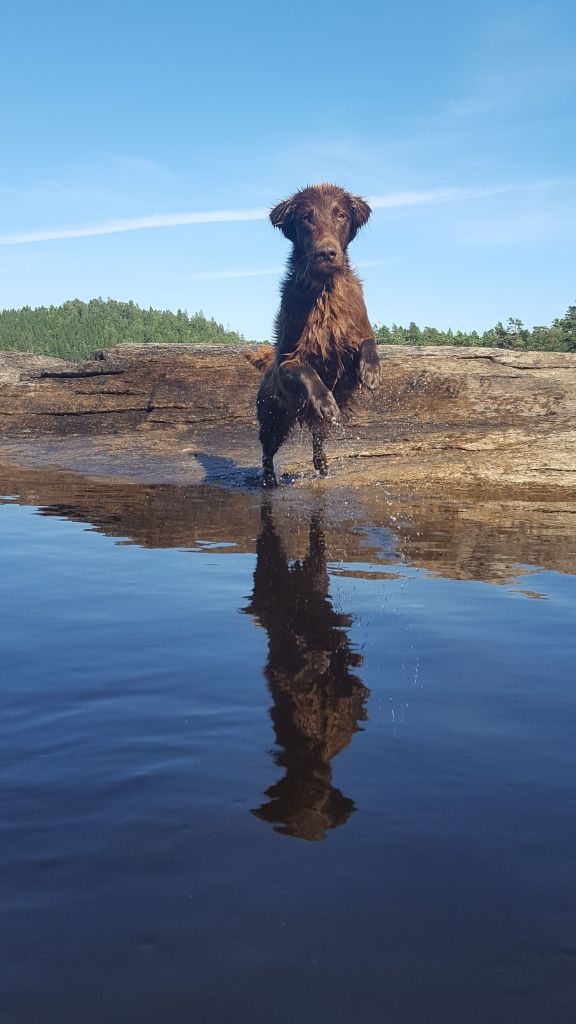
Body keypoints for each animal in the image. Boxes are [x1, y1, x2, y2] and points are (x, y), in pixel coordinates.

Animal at [245, 183, 381, 487]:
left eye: (341, 215)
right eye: (307, 217)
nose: (326, 253)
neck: (324, 290)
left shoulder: (355, 336)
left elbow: (369, 342)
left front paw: (371, 372)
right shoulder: (286, 362)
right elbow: (306, 371)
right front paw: (325, 401)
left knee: (318, 443)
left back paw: (322, 468)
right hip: (273, 419)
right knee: (266, 452)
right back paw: (270, 480)